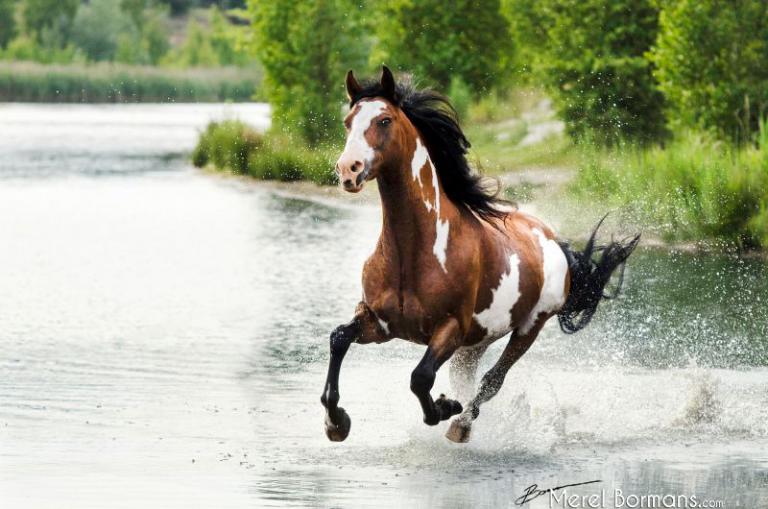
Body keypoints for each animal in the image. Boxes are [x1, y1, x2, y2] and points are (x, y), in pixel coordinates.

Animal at [320, 66, 639, 443]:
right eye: (348, 122)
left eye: (384, 120)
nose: (348, 170)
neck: (412, 255)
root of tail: (554, 242)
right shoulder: (379, 322)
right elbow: (339, 338)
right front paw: (336, 423)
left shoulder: (450, 329)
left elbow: (421, 378)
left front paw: (446, 407)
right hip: (476, 344)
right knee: (473, 376)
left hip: (529, 327)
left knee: (492, 380)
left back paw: (461, 425)